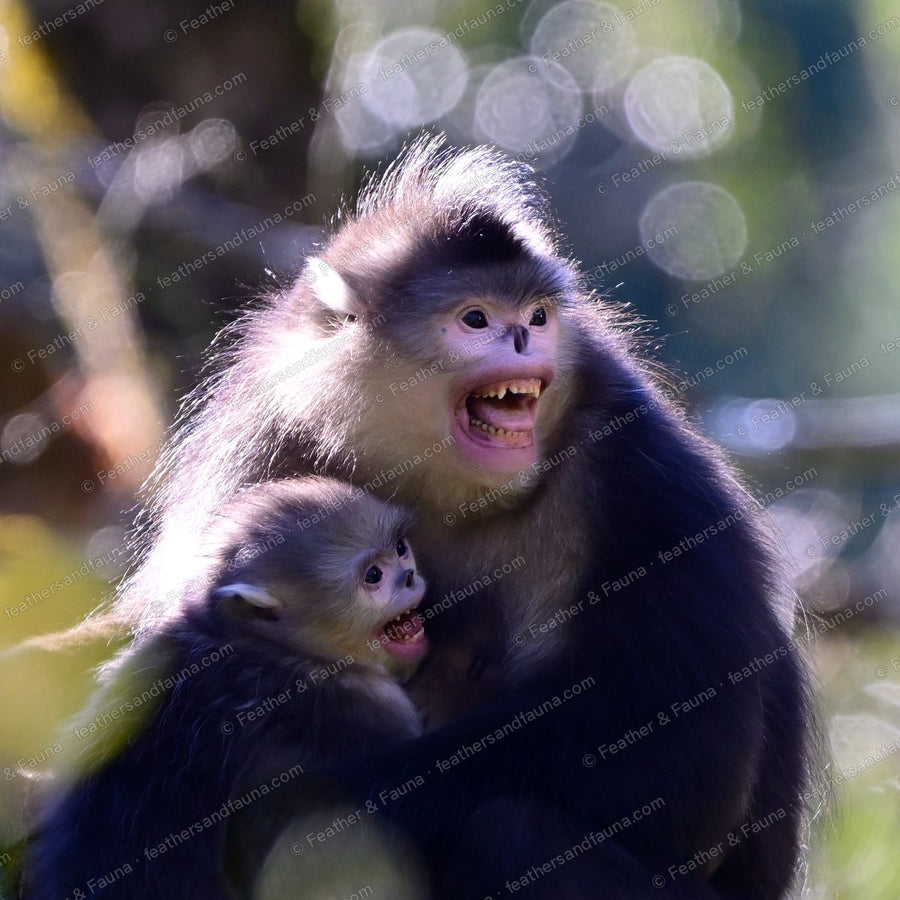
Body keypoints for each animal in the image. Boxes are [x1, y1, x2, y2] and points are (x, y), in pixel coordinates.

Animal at [110, 135, 811, 898]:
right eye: (476, 319)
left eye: (537, 318)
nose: (521, 341)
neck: (448, 485)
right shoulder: (266, 437)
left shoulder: (646, 474)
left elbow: (679, 762)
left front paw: (295, 801)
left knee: (514, 828)